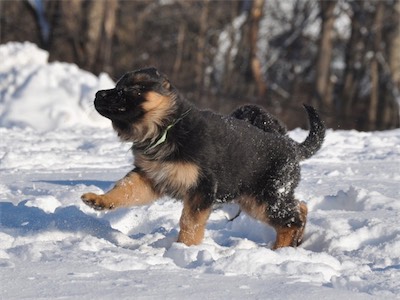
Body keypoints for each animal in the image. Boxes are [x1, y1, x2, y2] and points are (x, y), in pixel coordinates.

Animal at [82, 67, 324, 248]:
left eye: (131, 89)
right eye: (116, 87)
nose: (97, 95)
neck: (165, 128)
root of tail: (291, 145)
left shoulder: (202, 188)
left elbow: (190, 222)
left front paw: (184, 248)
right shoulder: (150, 177)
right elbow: (124, 188)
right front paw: (99, 200)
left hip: (265, 198)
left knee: (291, 220)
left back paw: (280, 249)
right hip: (256, 198)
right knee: (300, 207)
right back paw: (293, 243)